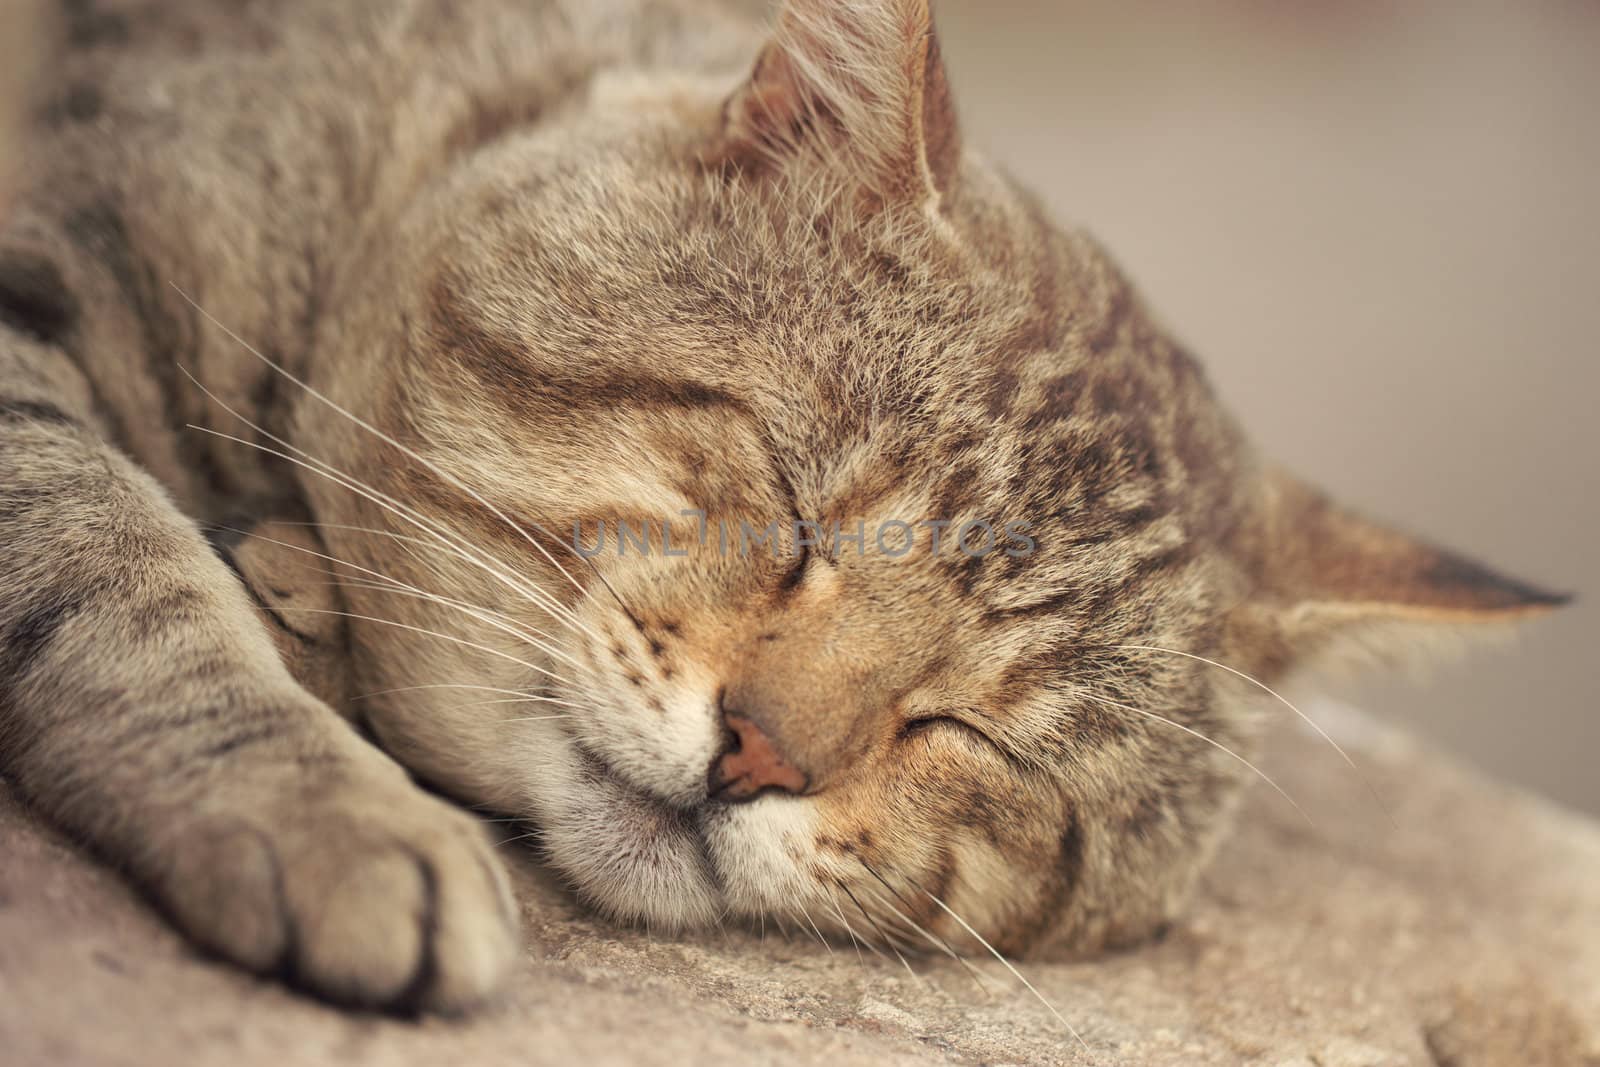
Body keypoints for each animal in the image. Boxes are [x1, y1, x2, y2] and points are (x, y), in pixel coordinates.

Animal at [0, 0, 1561, 1017]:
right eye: (796, 511)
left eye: (969, 731)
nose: (755, 753)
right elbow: (114, 567)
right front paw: (317, 803)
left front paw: (300, 610)